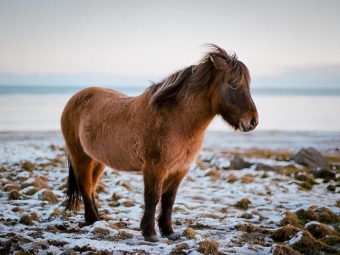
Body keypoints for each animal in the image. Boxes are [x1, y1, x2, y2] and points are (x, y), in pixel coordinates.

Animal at [60, 43, 258, 241]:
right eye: (233, 84)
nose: (253, 121)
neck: (176, 121)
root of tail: (75, 99)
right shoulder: (155, 167)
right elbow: (153, 197)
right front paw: (149, 233)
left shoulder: (179, 169)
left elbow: (169, 200)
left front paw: (168, 231)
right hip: (81, 157)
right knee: (85, 186)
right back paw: (92, 220)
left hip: (97, 160)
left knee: (92, 187)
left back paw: (98, 219)